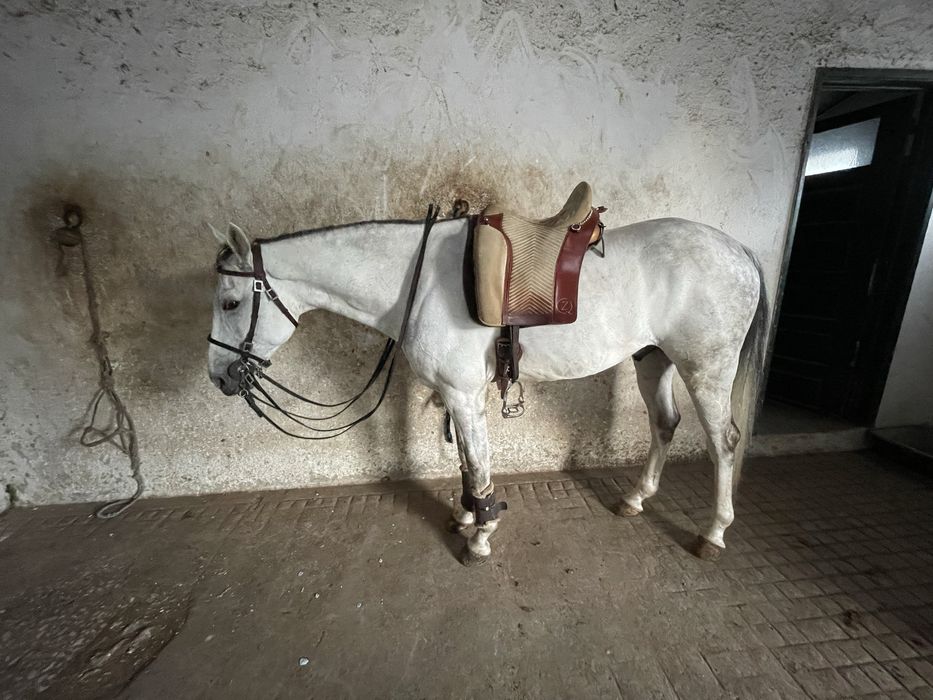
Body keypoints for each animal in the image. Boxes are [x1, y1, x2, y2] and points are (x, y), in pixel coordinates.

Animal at [207, 213, 768, 566]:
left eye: (230, 302)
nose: (219, 377)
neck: (420, 284)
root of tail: (738, 250)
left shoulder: (461, 394)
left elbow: (477, 465)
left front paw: (479, 537)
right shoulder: (457, 396)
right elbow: (464, 464)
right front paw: (464, 516)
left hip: (706, 369)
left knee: (723, 443)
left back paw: (713, 534)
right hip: (654, 360)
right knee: (665, 425)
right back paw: (635, 499)